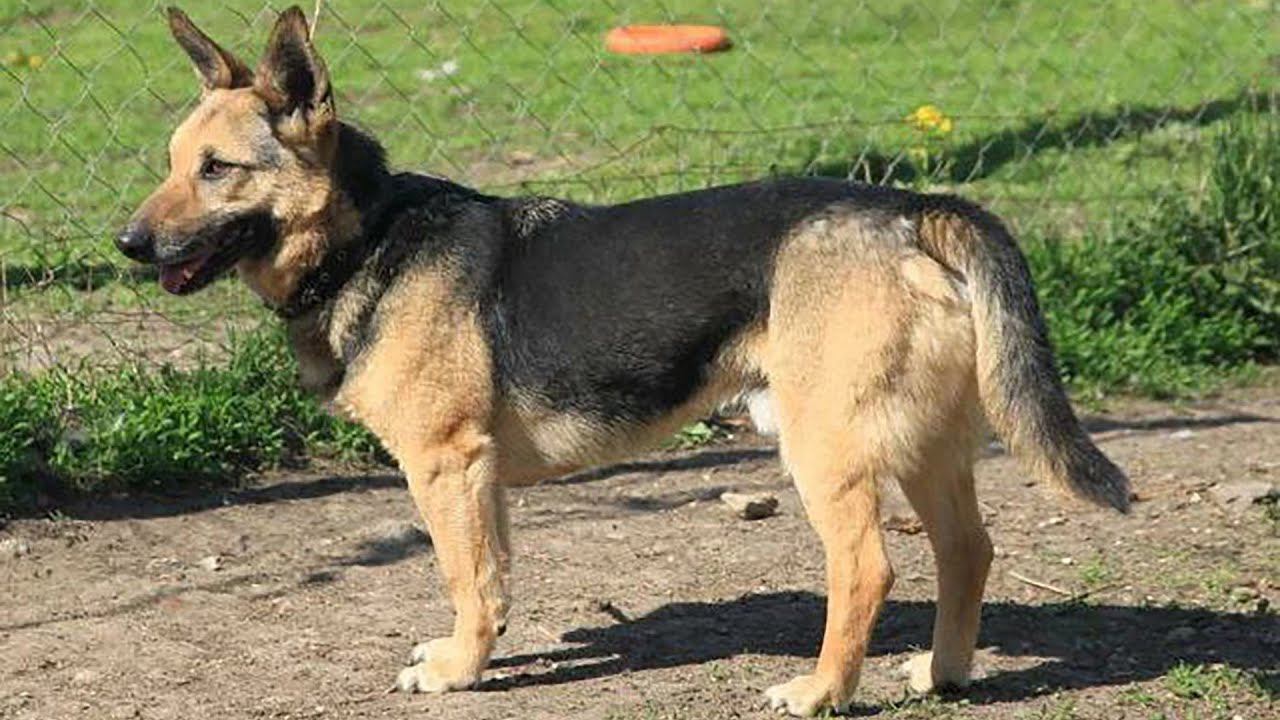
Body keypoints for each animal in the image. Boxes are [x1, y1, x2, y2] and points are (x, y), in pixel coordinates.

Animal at [117, 7, 1130, 716]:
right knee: (969, 548)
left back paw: (822, 691)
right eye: (169, 161)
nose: (125, 244)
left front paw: (458, 670)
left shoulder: (447, 466)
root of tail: (910, 208)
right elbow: (494, 580)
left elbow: (464, 579)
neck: (368, 238)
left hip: (826, 449)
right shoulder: (479, 478)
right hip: (920, 443)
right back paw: (946, 673)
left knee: (869, 571)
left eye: (217, 169)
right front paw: (478, 654)